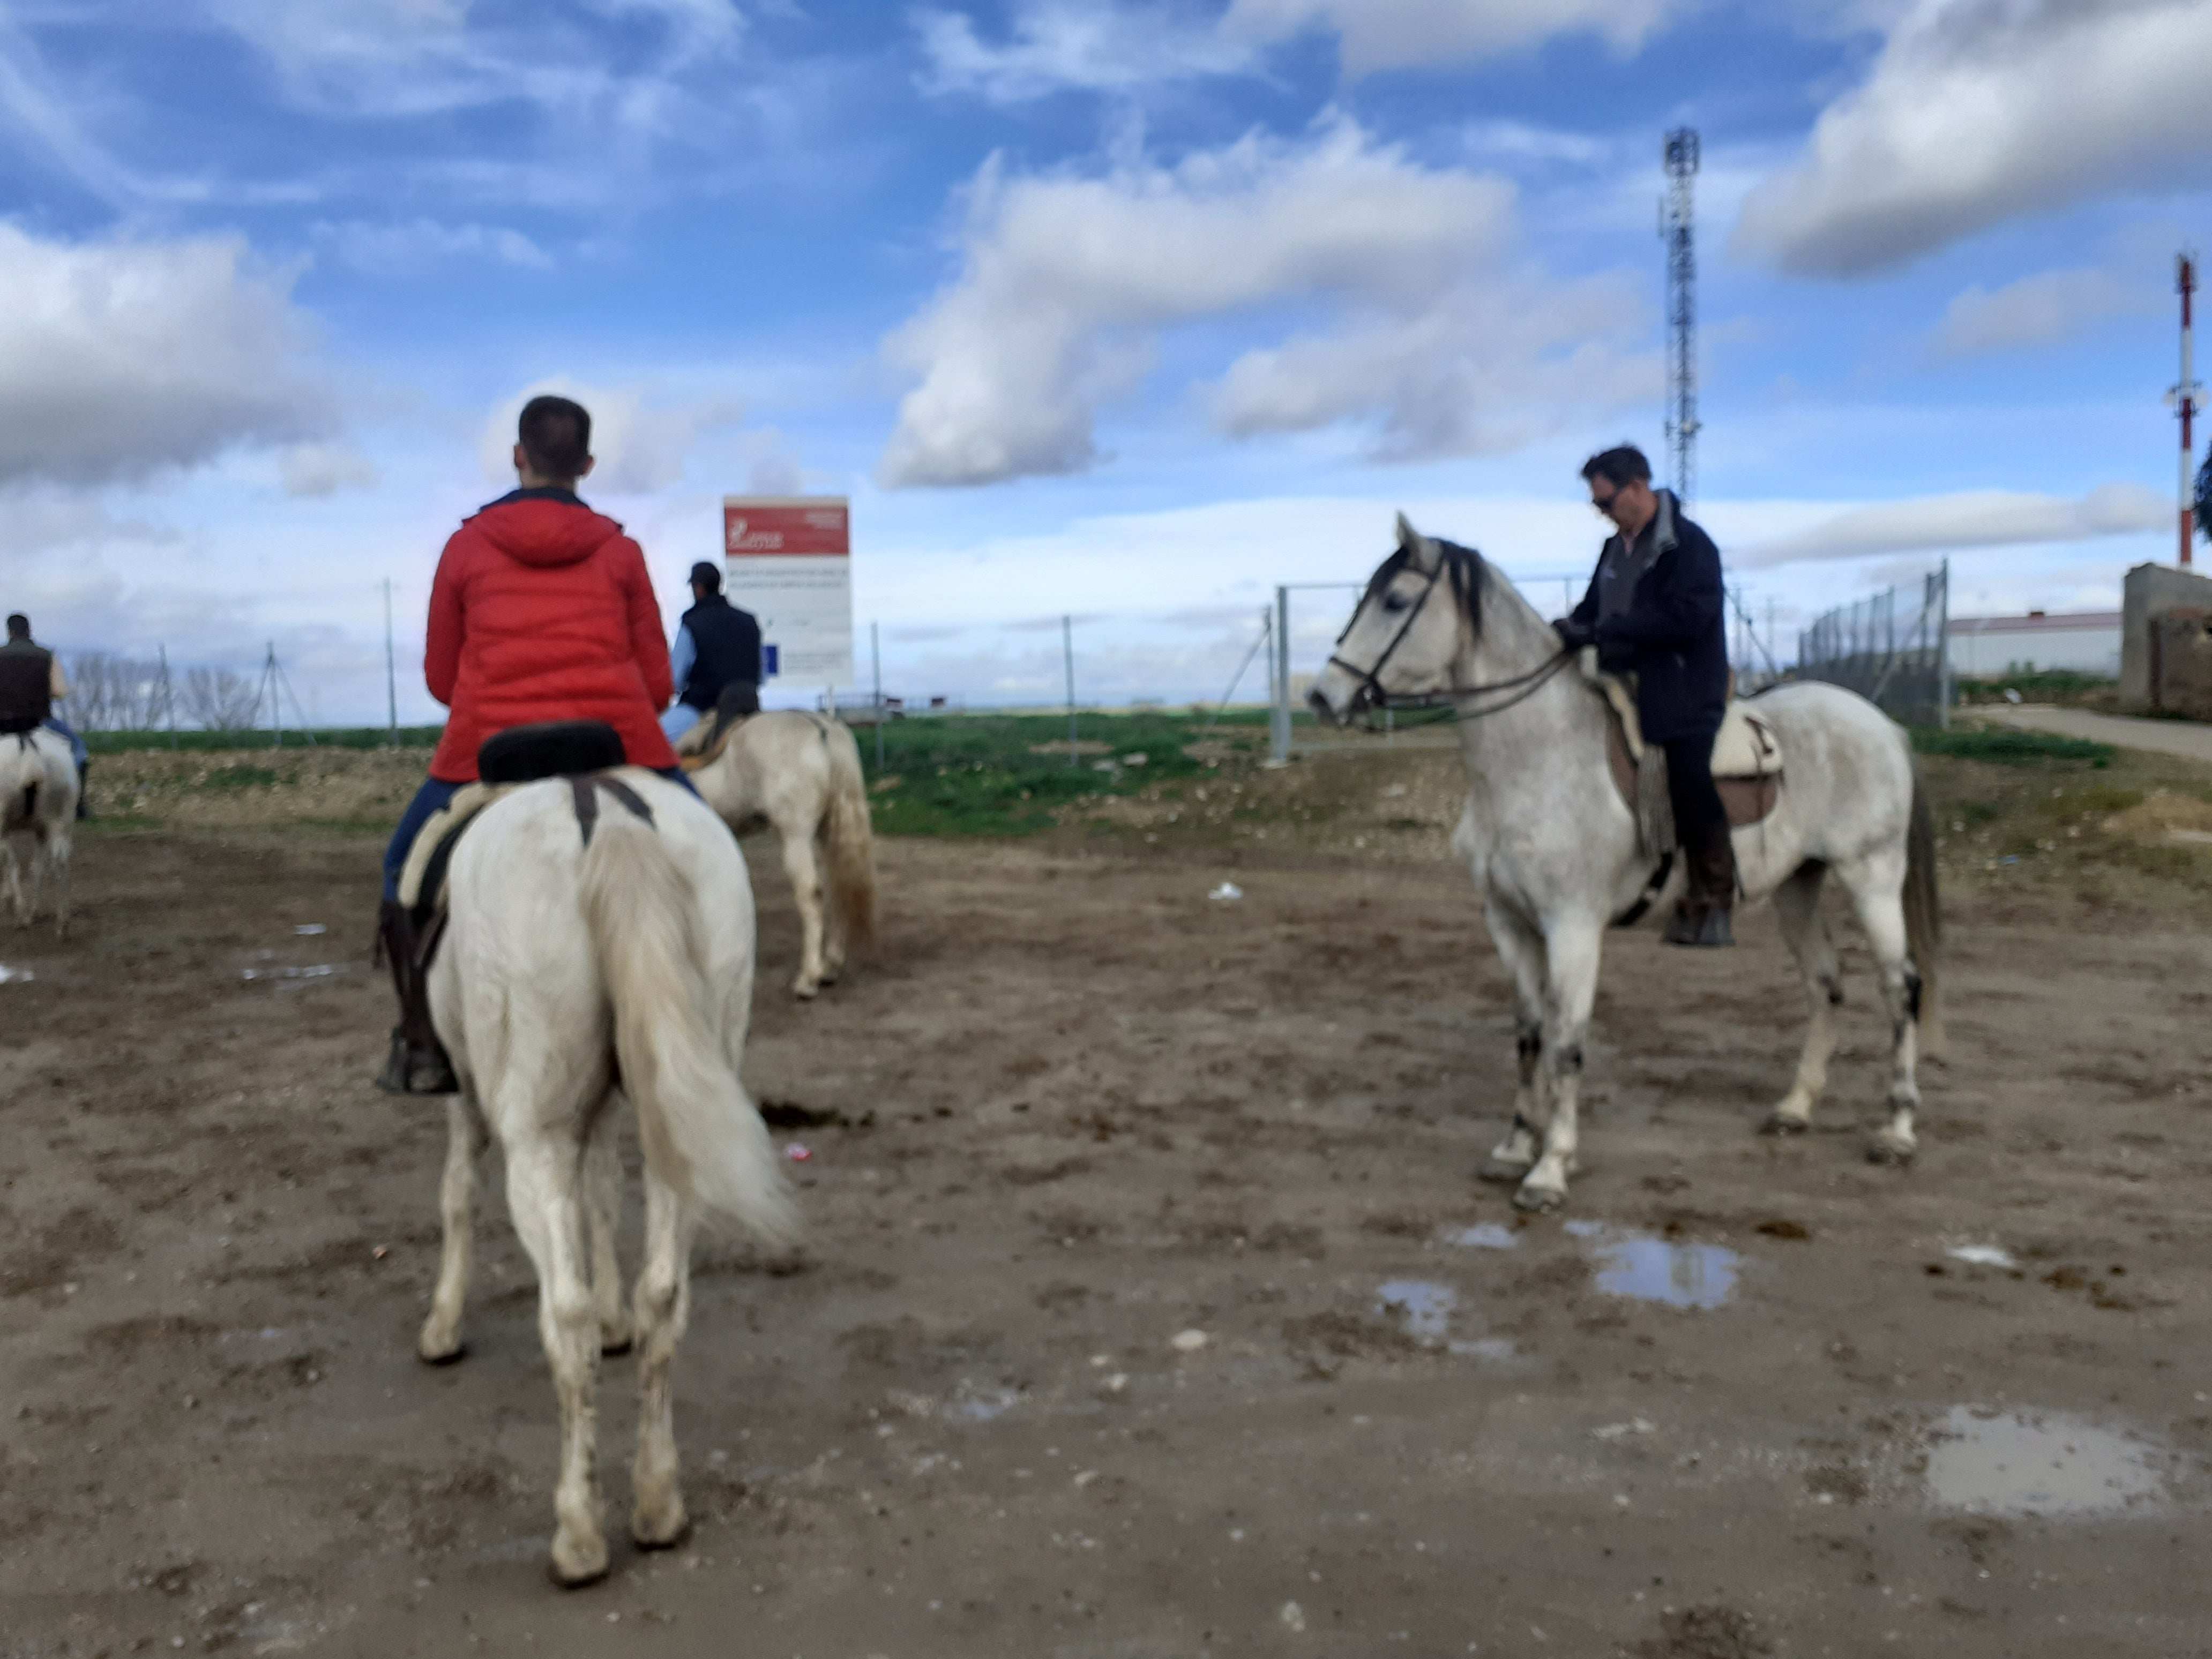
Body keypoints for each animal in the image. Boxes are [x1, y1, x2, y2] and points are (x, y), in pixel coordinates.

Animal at [0, 727, 77, 938]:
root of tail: (30, 752)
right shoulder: (40, 830)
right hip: (57, 822)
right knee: (55, 864)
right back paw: (60, 923)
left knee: (13, 864)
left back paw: (22, 913)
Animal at [413, 767, 796, 1586]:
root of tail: (606, 813)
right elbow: (603, 1197)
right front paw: (619, 1317)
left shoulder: (468, 1094)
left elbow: (457, 1195)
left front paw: (442, 1326)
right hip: (677, 1114)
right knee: (666, 1295)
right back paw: (658, 1502)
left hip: (534, 1137)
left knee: (565, 1318)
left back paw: (580, 1532)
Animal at [676, 710, 877, 999]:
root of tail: (821, 728)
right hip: (829, 828)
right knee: (837, 885)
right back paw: (831, 966)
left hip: (796, 836)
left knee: (811, 895)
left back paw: (809, 978)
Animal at [1309, 515, 1941, 1213]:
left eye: (1395, 602)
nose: (1322, 696)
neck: (1539, 756)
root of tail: (1879, 723)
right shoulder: (1509, 923)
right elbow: (1530, 1033)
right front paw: (1515, 1147)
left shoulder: (1573, 927)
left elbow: (1566, 1043)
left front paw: (1551, 1169)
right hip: (1798, 887)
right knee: (1824, 985)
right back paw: (1796, 1108)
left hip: (1872, 877)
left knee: (1901, 988)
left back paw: (1898, 1130)